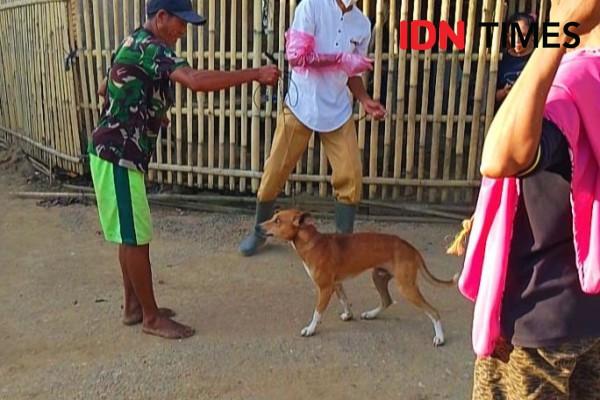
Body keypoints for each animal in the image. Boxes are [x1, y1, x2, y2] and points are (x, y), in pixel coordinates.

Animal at [258, 208, 460, 346]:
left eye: (277, 220)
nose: (258, 227)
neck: (312, 242)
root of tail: (411, 248)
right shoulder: (336, 284)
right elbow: (345, 301)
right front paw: (348, 315)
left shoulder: (324, 288)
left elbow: (317, 312)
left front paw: (311, 329)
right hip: (378, 277)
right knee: (387, 300)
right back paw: (371, 314)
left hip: (406, 287)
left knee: (433, 311)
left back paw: (440, 338)